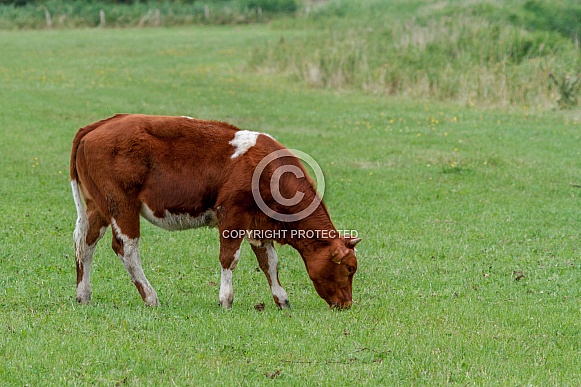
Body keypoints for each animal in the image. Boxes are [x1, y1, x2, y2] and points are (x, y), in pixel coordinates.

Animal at [68, 113, 358, 310]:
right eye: (350, 268)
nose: (347, 304)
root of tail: (97, 126)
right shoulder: (232, 213)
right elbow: (229, 258)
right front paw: (226, 300)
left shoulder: (258, 223)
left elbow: (269, 262)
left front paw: (282, 299)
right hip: (121, 205)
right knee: (126, 248)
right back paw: (150, 297)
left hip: (98, 207)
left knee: (85, 244)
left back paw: (83, 295)